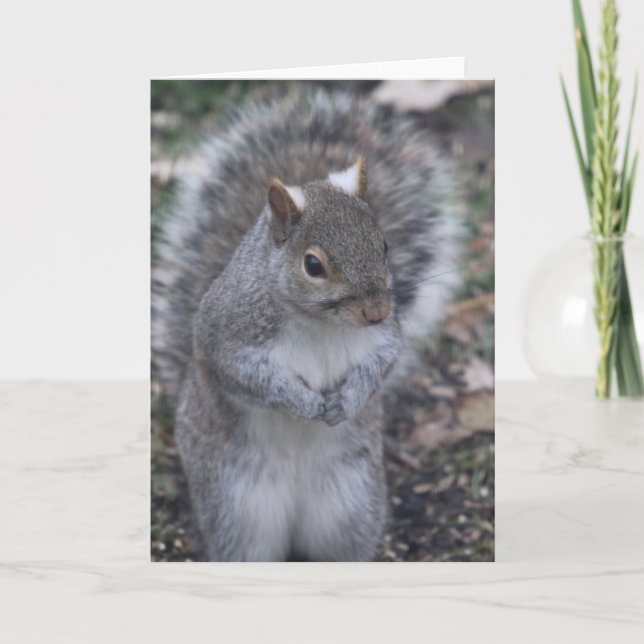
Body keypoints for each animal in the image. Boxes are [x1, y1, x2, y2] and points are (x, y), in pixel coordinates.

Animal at [152, 85, 463, 561]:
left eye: (384, 245)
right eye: (313, 265)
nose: (377, 312)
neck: (320, 324)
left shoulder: (383, 338)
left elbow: (382, 364)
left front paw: (349, 400)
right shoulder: (226, 336)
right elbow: (249, 377)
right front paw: (302, 403)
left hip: (351, 503)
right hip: (235, 507)